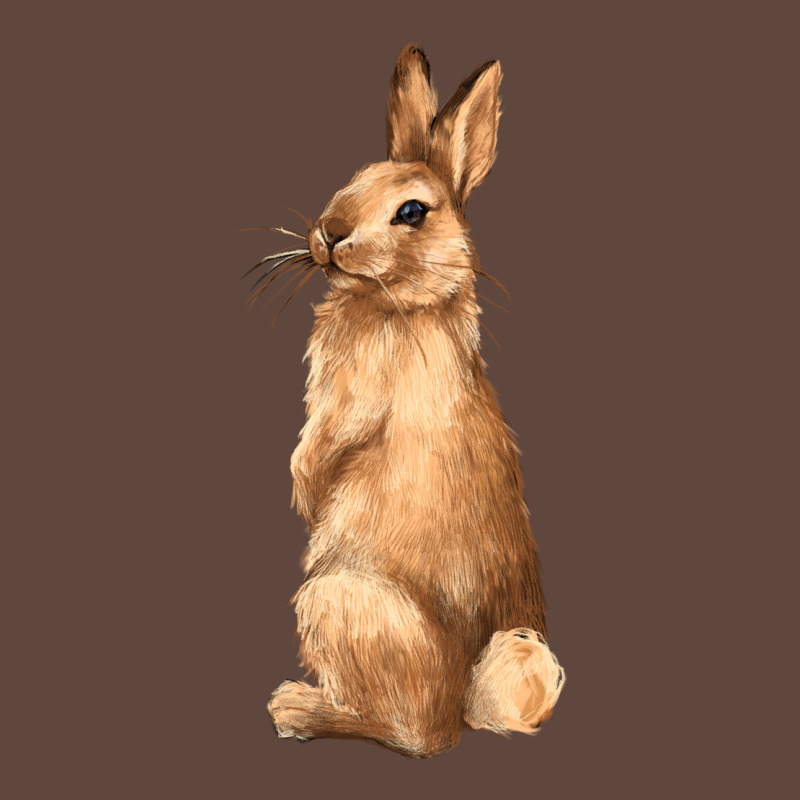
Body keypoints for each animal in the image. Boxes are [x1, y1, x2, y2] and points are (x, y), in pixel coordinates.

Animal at [264, 44, 565, 758]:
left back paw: (298, 709)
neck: (401, 303)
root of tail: (467, 700)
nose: (329, 233)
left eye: (411, 212)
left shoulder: (351, 399)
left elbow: (319, 450)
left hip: (335, 601)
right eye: (354, 177)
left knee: (416, 735)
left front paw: (305, 495)